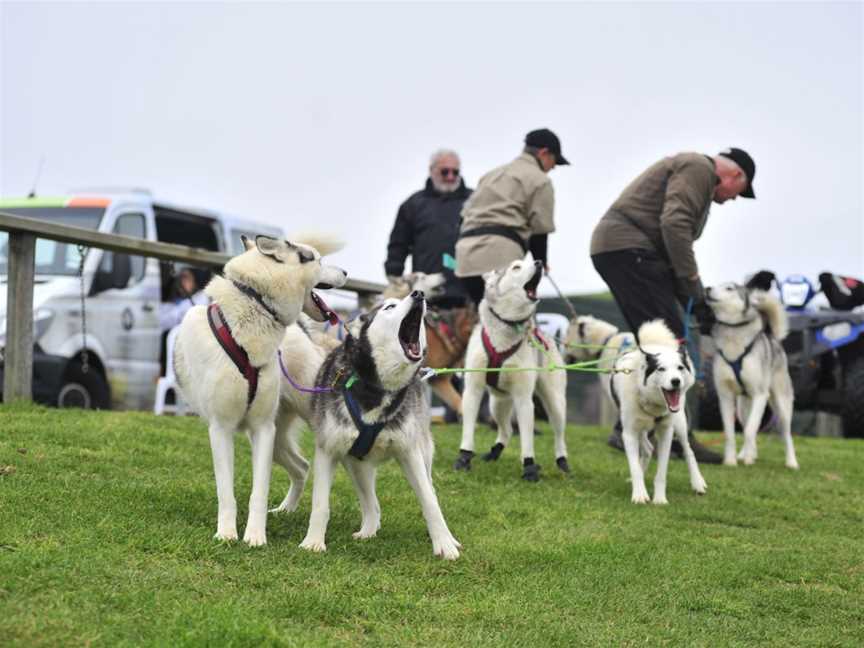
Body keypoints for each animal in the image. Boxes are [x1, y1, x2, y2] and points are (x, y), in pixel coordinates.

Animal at [172, 235, 348, 544]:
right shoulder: (221, 429)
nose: (347, 273)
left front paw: (255, 537)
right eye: (317, 260)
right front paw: (227, 534)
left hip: (302, 424)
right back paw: (286, 510)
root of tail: (301, 329)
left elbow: (259, 491)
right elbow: (225, 492)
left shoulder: (263, 429)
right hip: (278, 441)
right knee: (302, 466)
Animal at [276, 292, 466, 560]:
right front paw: (313, 542)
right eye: (389, 307)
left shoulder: (410, 453)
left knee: (428, 489)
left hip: (423, 454)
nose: (418, 293)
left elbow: (429, 502)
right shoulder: (327, 451)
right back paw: (368, 529)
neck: (377, 388)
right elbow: (320, 503)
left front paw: (444, 545)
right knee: (370, 501)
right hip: (355, 463)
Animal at [448, 253, 572, 480]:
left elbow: (527, 440)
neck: (506, 325)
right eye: (516, 267)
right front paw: (463, 458)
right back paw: (494, 452)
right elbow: (468, 431)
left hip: (555, 403)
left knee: (559, 436)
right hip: (497, 403)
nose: (539, 262)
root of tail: (544, 334)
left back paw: (563, 463)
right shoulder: (472, 391)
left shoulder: (524, 400)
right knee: (506, 430)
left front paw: (530, 468)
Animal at [604, 322, 704, 504]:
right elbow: (635, 467)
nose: (676, 381)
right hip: (640, 428)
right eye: (661, 369)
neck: (651, 401)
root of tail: (655, 345)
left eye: (680, 368)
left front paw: (659, 499)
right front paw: (639, 494)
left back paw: (698, 483)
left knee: (688, 450)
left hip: (679, 423)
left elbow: (662, 472)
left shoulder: (666, 432)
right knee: (648, 449)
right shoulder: (629, 433)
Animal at [704, 280, 800, 468]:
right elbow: (730, 433)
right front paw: (730, 461)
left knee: (786, 434)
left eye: (729, 288)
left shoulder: (760, 395)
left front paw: (748, 458)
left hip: (781, 405)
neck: (733, 334)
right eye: (716, 285)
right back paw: (745, 454)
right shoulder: (725, 396)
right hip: (742, 407)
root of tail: (772, 338)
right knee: (748, 423)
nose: (707, 288)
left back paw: (791, 462)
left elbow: (750, 430)